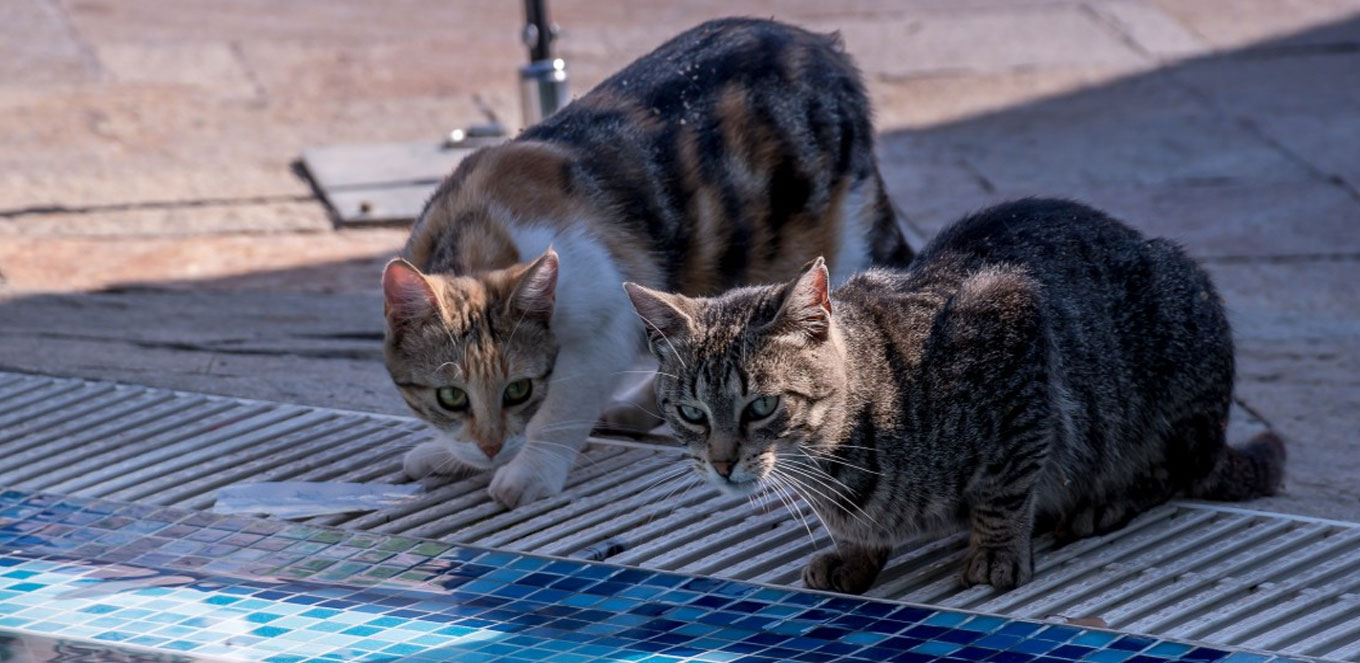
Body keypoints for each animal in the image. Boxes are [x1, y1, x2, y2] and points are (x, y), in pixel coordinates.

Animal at [386, 16, 913, 508]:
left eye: (517, 389)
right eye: (450, 398)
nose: (492, 448)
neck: (476, 226)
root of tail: (824, 46)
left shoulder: (602, 330)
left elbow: (561, 409)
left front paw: (529, 471)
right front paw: (453, 454)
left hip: (829, 240)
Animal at [625, 198, 1283, 589]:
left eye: (762, 405)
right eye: (691, 413)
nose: (722, 462)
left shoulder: (1013, 328)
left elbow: (1005, 486)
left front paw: (995, 552)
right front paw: (855, 555)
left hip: (1173, 369)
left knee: (1175, 471)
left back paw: (1104, 503)